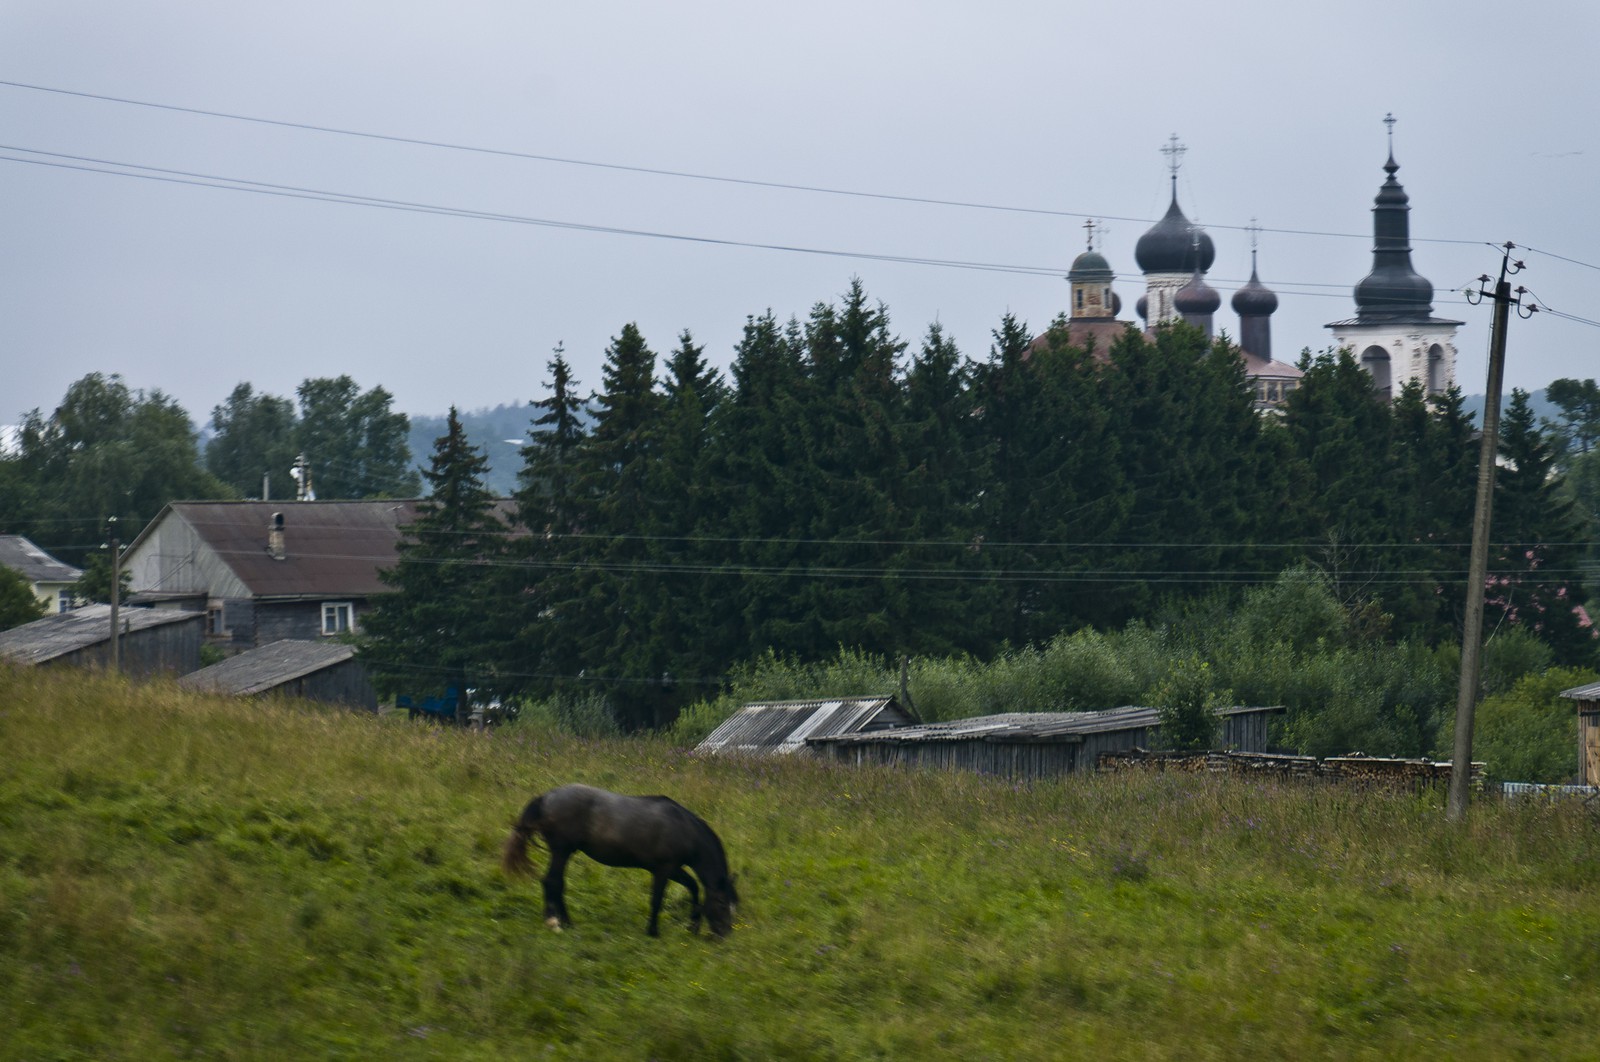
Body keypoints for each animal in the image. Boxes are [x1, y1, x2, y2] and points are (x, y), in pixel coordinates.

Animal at [501, 783, 739, 937]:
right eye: (721, 903)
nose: (724, 934)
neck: (684, 829)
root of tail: (547, 797)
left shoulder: (673, 869)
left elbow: (693, 888)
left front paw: (693, 926)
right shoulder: (663, 869)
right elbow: (657, 900)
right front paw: (653, 932)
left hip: (563, 852)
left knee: (555, 883)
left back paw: (565, 922)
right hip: (562, 851)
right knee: (552, 882)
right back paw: (555, 923)